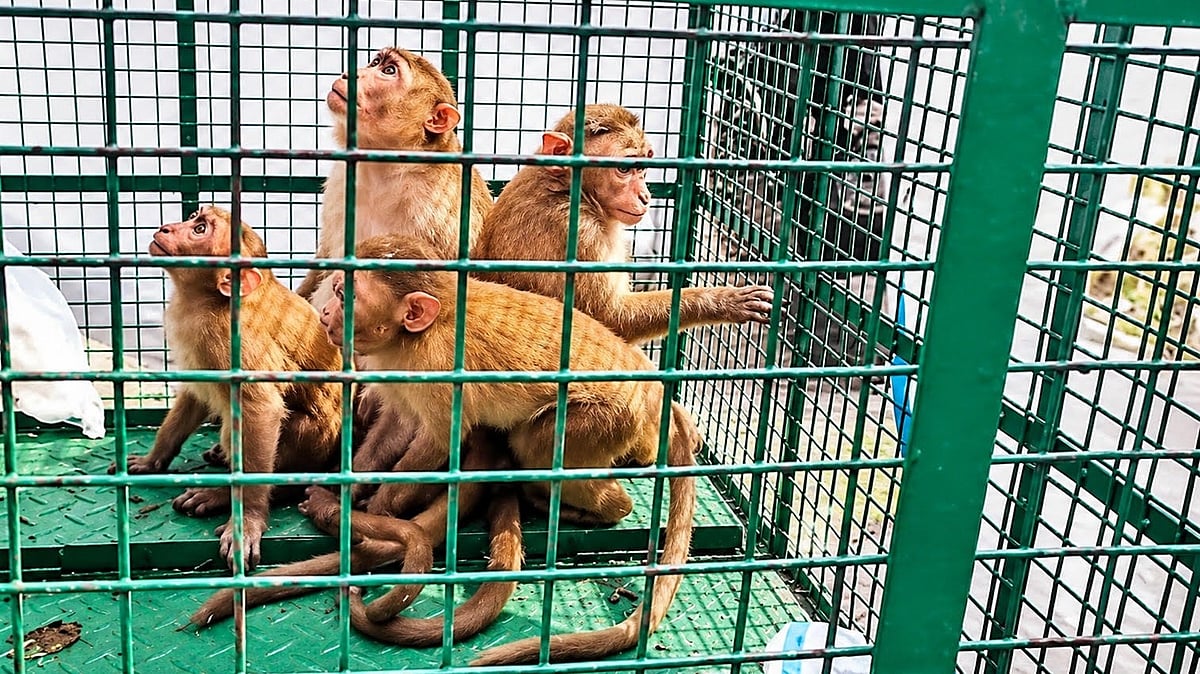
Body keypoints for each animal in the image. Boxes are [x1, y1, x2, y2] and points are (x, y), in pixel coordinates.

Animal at [110, 206, 343, 571]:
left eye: (200, 230)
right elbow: (195, 395)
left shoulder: (228, 339)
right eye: (194, 215)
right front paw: (153, 460)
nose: (166, 227)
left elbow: (262, 411)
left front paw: (247, 518)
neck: (208, 300)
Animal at [471, 103, 774, 345]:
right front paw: (722, 300)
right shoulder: (577, 231)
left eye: (643, 167)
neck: (565, 188)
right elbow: (610, 321)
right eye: (624, 168)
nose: (645, 196)